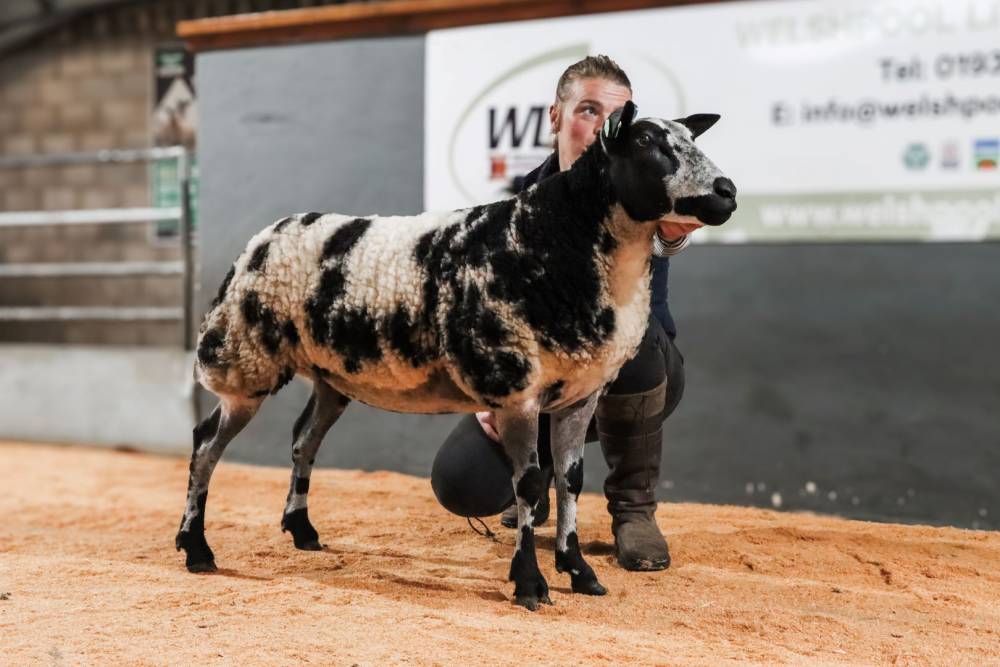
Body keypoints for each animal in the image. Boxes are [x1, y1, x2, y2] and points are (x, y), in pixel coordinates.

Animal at [176, 101, 736, 610]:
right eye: (645, 141)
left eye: (691, 137)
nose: (727, 192)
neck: (556, 237)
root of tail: (265, 236)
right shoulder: (515, 389)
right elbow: (528, 484)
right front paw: (529, 583)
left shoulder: (581, 394)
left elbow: (571, 482)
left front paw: (578, 571)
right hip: (243, 357)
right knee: (206, 444)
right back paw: (196, 547)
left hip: (330, 377)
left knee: (302, 440)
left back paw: (302, 530)